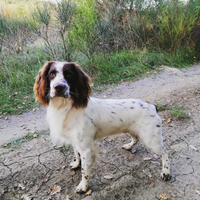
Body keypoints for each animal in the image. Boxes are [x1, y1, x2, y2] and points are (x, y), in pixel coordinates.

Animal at [34, 61, 170, 192]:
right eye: (52, 74)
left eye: (69, 75)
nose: (59, 87)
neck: (67, 108)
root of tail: (152, 105)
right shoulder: (75, 141)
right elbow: (76, 154)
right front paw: (76, 164)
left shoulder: (87, 149)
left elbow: (84, 171)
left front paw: (83, 187)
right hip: (132, 129)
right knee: (136, 139)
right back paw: (128, 146)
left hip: (151, 139)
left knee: (165, 153)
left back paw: (166, 172)